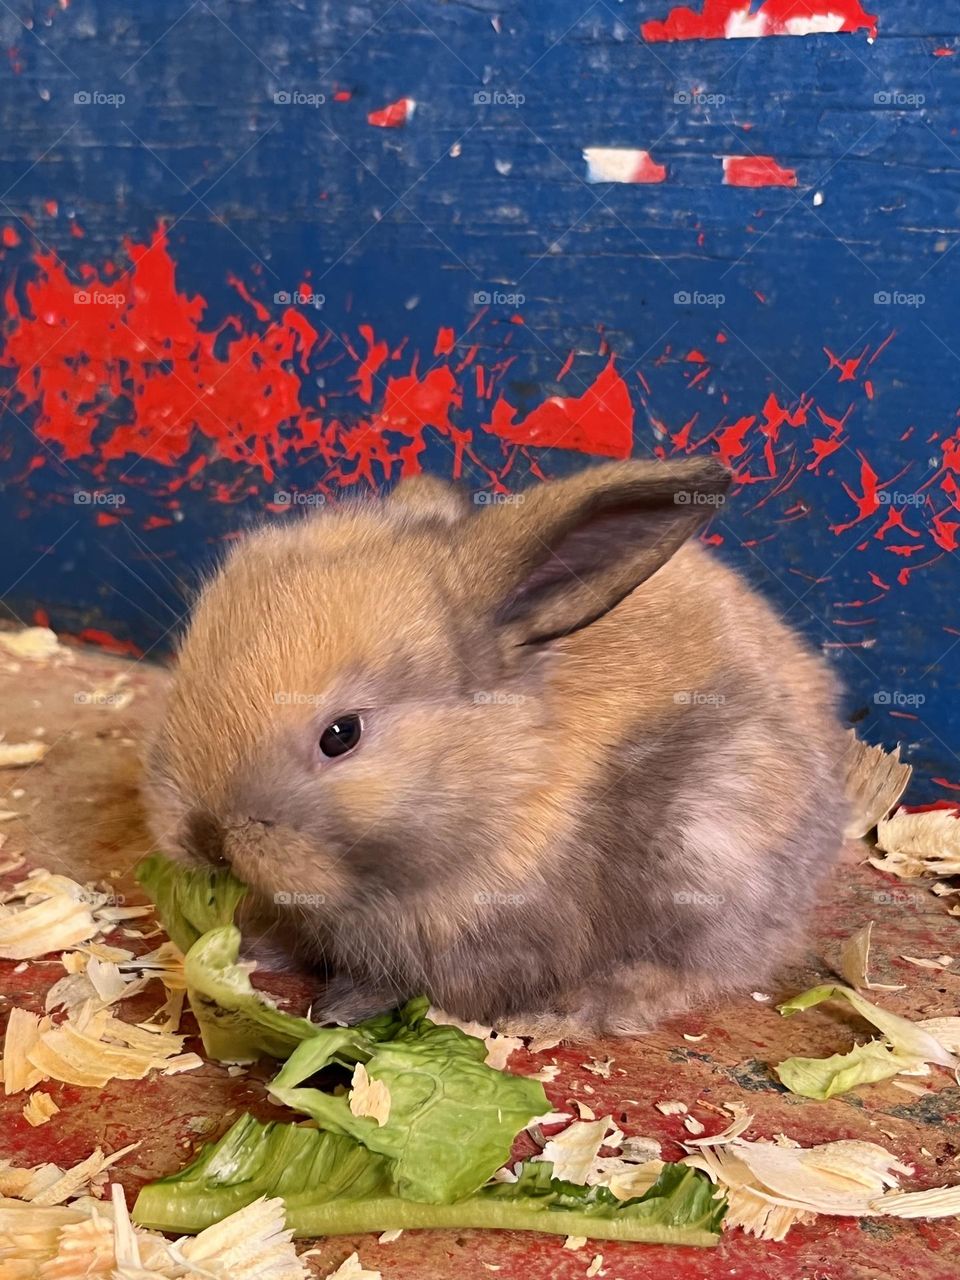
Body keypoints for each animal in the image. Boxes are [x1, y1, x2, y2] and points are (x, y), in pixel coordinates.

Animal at [144, 458, 848, 1039]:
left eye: (341, 734)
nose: (206, 838)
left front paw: (341, 1007)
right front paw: (248, 946)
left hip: (712, 845)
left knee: (699, 967)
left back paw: (575, 1011)